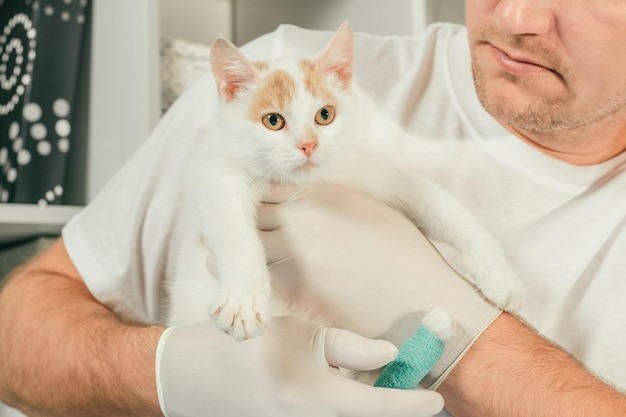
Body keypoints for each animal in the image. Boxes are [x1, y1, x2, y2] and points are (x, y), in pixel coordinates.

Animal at [167, 22, 520, 340]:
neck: (299, 186)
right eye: (273, 121)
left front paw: (500, 274)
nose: (308, 145)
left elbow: (437, 202)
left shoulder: (365, 171)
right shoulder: (215, 171)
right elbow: (232, 227)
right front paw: (243, 300)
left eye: (325, 115)